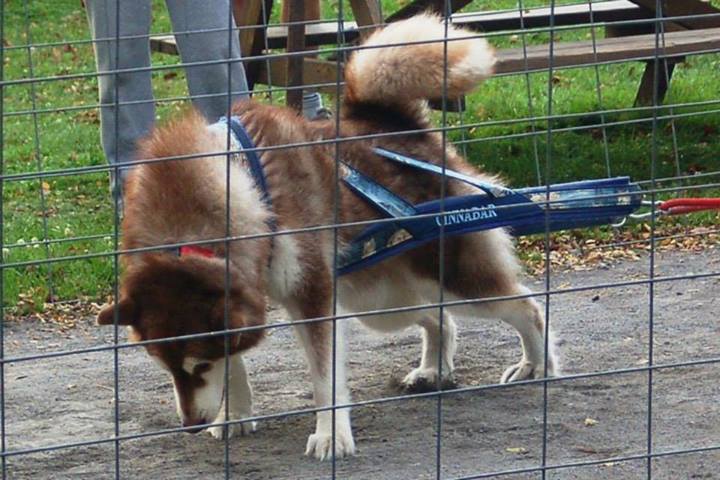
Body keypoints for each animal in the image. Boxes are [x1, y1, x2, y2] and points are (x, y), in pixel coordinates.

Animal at [97, 13, 556, 460]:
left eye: (199, 365)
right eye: (165, 366)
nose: (190, 424)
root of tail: (390, 122)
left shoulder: (312, 297)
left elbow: (324, 377)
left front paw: (331, 435)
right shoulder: (246, 294)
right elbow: (239, 359)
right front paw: (235, 414)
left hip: (448, 278)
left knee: (525, 306)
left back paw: (536, 364)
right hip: (380, 300)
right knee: (439, 316)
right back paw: (433, 370)